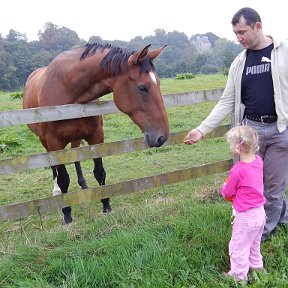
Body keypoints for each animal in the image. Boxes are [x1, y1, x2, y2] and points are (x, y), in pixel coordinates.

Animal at [22, 41, 169, 224]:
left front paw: (106, 205)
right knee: (53, 166)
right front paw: (67, 214)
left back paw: (83, 183)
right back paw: (56, 190)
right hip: (45, 141)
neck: (68, 92)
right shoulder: (55, 143)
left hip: (75, 138)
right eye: (142, 87)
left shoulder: (96, 137)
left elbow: (100, 172)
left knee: (76, 157)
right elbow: (64, 179)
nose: (162, 136)